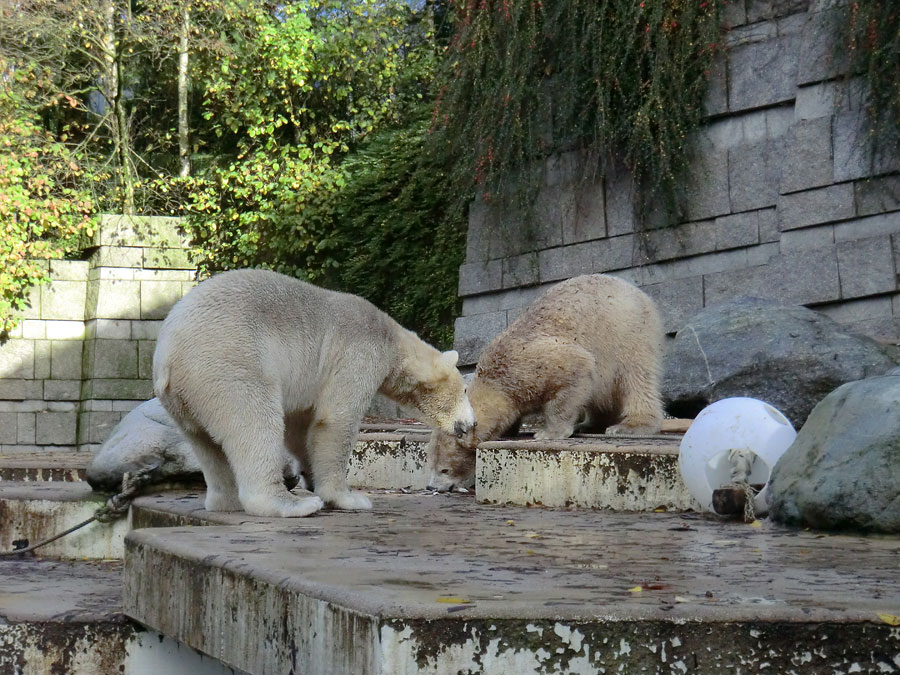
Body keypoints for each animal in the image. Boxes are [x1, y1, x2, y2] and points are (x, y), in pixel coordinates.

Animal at [155, 270, 478, 516]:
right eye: (464, 389)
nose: (471, 423)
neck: (392, 339)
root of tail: (169, 352)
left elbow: (300, 426)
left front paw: (311, 476)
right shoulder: (358, 351)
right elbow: (334, 420)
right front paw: (348, 498)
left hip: (187, 397)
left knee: (206, 444)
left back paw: (227, 500)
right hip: (230, 362)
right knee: (254, 424)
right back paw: (292, 504)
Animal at [426, 274, 664, 492]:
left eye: (444, 469)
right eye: (430, 463)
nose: (430, 487)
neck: (497, 382)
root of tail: (635, 290)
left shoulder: (533, 365)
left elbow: (576, 367)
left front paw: (548, 432)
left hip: (623, 330)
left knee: (636, 376)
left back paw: (631, 425)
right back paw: (590, 423)